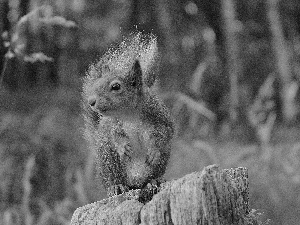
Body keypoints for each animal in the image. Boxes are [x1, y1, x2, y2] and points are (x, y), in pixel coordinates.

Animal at [82, 32, 176, 198]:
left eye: (116, 86)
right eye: (96, 84)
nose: (91, 101)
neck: (128, 113)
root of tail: (135, 182)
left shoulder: (160, 116)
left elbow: (164, 133)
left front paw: (153, 150)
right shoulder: (112, 124)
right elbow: (115, 136)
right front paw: (123, 146)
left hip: (159, 163)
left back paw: (153, 181)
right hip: (109, 160)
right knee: (114, 180)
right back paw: (116, 187)